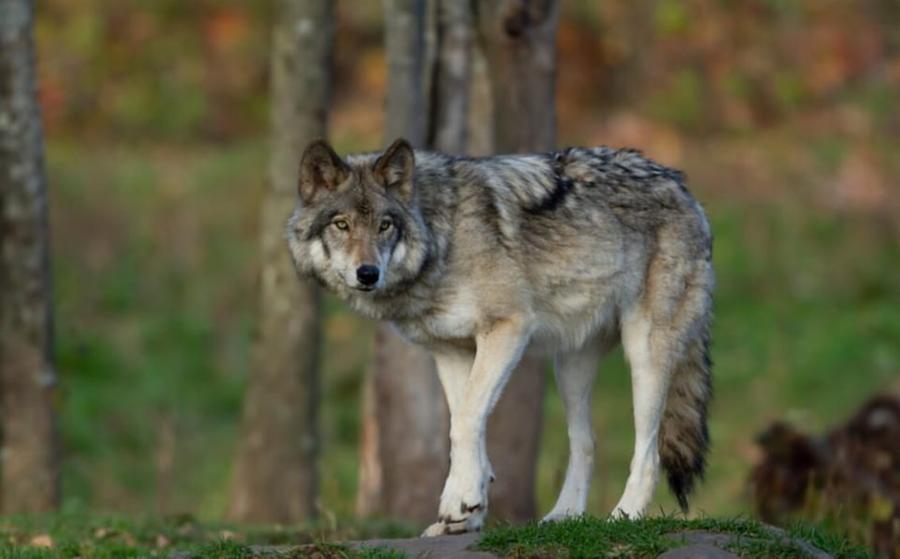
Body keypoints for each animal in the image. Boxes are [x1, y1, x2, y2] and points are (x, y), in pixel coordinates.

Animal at [286, 138, 714, 536]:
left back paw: (625, 516)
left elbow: (465, 421)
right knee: (586, 442)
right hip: (570, 368)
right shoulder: (451, 351)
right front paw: (466, 509)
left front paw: (459, 501)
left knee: (649, 451)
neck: (442, 237)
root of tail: (682, 186)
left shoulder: (509, 329)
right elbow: (465, 423)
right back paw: (563, 517)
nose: (368, 273)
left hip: (645, 356)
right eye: (341, 224)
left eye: (384, 225)